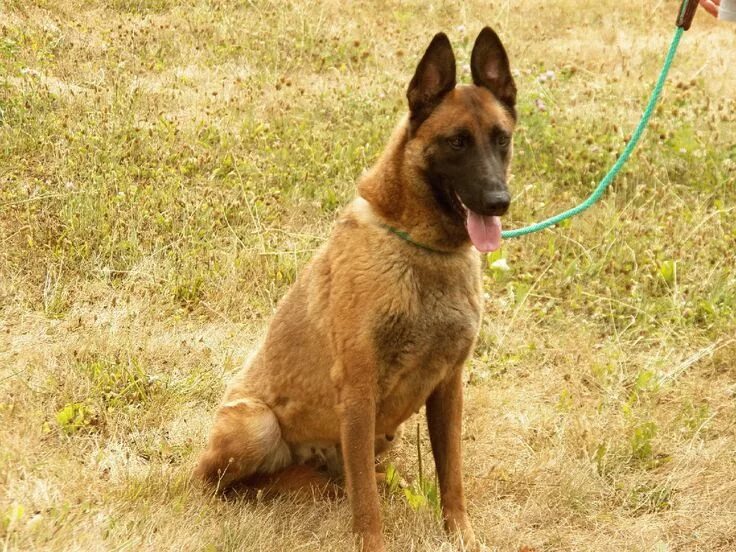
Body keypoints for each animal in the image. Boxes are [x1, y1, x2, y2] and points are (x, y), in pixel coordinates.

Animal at [196, 27, 516, 552]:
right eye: (456, 142)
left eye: (501, 139)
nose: (499, 201)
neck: (422, 248)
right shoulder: (359, 391)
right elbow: (365, 502)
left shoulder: (448, 387)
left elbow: (452, 475)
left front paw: (460, 534)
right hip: (256, 424)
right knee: (221, 482)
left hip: (384, 436)